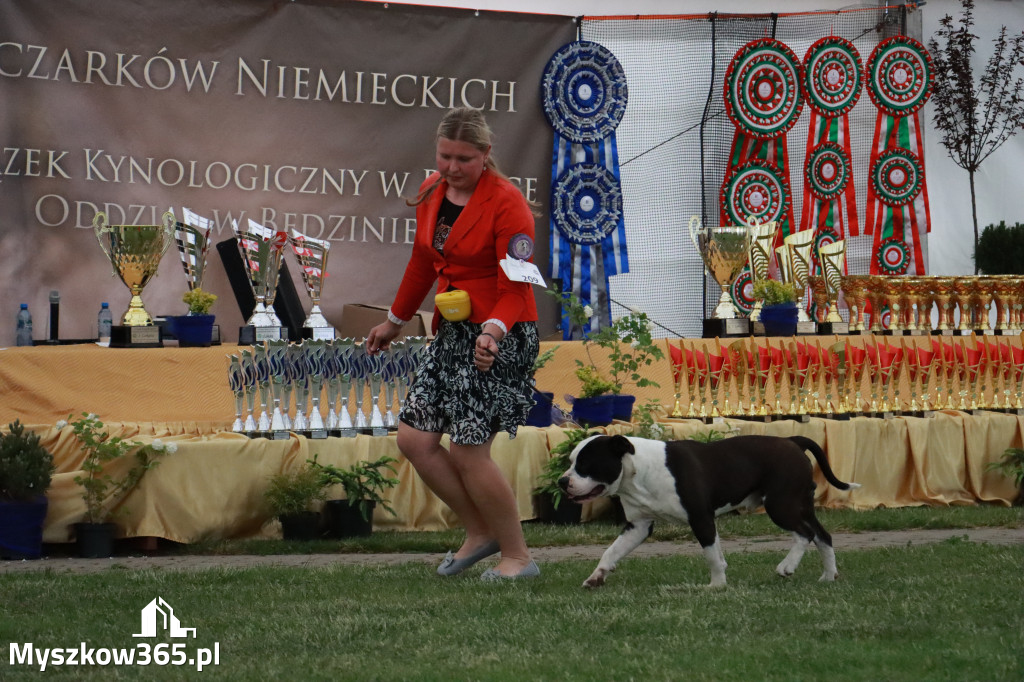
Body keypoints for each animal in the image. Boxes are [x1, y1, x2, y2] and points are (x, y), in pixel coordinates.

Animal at [557, 436, 860, 585]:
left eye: (586, 464)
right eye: (571, 461)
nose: (562, 481)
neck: (639, 468)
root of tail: (794, 441)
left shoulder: (700, 518)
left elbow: (712, 556)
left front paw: (717, 586)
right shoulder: (638, 526)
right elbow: (612, 551)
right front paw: (597, 576)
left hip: (781, 505)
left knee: (804, 534)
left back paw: (787, 566)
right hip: (800, 504)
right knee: (822, 535)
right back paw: (828, 576)